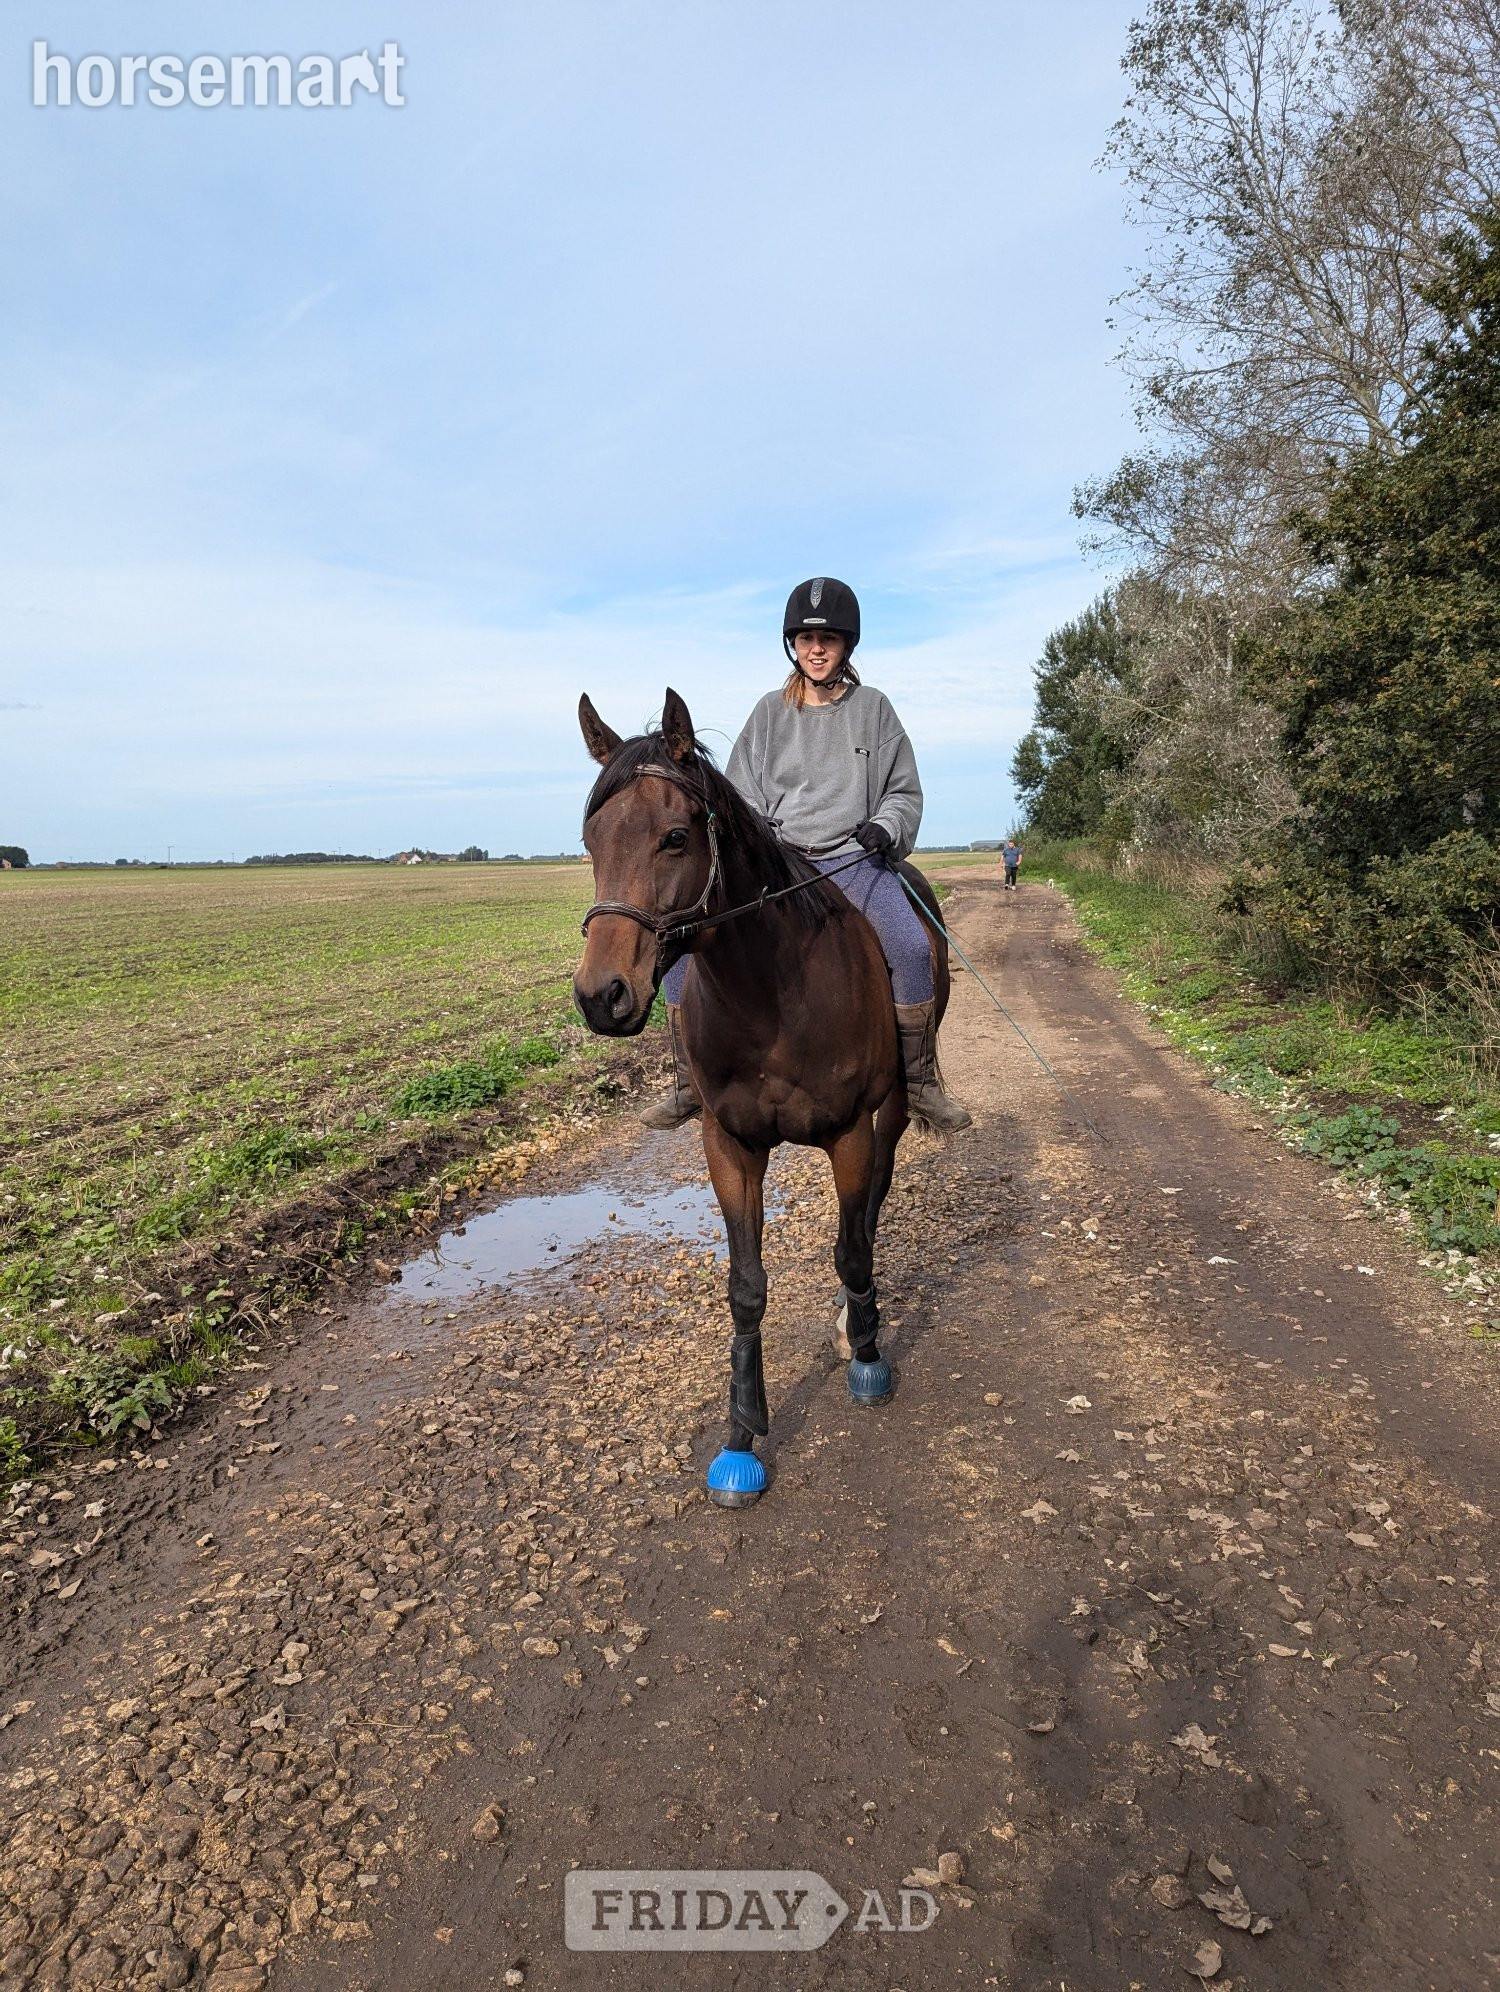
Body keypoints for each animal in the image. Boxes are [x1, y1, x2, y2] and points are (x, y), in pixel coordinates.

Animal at [572, 687, 950, 1506]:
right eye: (590, 840)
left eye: (675, 837)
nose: (600, 997)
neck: (773, 993)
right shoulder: (730, 1145)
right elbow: (746, 1289)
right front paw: (741, 1435)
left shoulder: (850, 1131)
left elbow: (852, 1250)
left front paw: (867, 1358)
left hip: (893, 1113)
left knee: (873, 1205)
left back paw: (854, 1322)